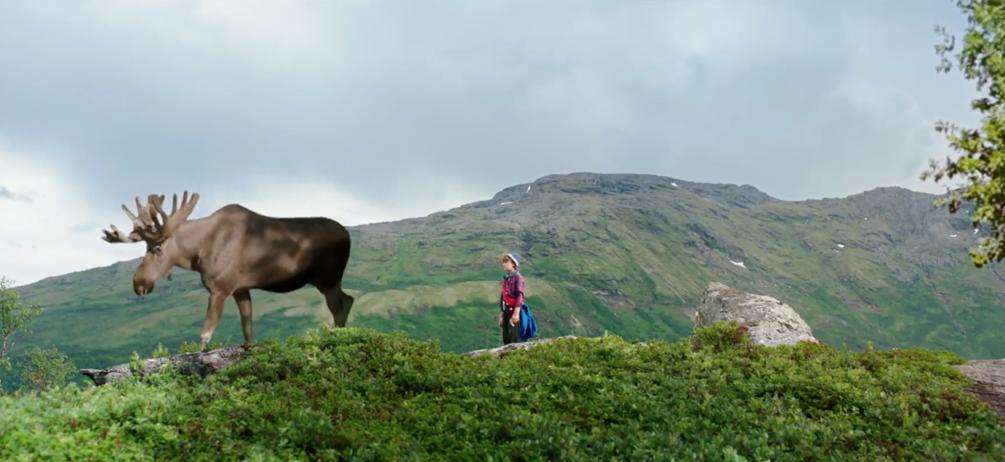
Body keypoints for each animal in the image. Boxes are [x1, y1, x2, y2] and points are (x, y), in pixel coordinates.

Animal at [102, 190, 353, 345]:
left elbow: (205, 334)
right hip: (328, 281)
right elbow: (247, 330)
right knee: (348, 300)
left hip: (328, 278)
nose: (139, 283)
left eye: (157, 248)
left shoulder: (219, 288)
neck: (198, 251)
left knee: (339, 305)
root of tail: (347, 235)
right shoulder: (240, 289)